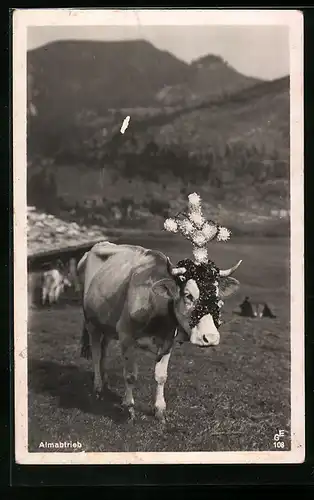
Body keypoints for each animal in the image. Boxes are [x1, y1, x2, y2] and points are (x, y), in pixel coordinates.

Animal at [77, 240, 242, 424]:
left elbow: (161, 376)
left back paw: (105, 380)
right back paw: (98, 386)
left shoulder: (167, 341)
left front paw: (160, 409)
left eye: (217, 297)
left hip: (106, 324)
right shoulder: (126, 336)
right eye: (188, 295)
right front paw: (129, 408)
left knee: (104, 349)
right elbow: (130, 375)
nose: (210, 338)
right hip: (91, 322)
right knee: (96, 352)